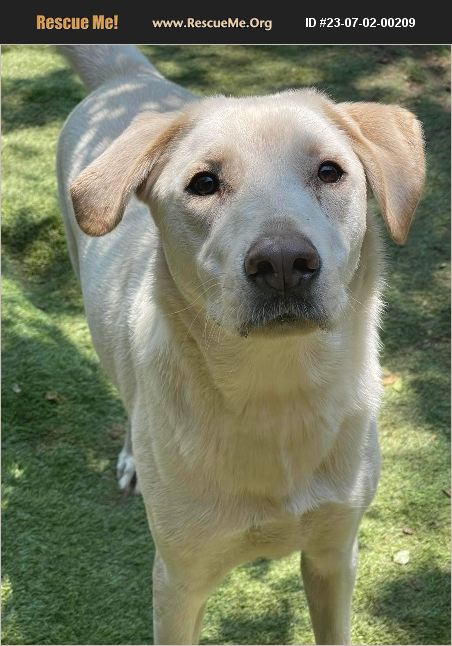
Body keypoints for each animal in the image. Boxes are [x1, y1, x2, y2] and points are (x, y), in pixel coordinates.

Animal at [58, 43, 426, 644]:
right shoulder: (178, 584)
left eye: (330, 171)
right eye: (203, 183)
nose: (283, 263)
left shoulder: (335, 555)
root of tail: (128, 79)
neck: (275, 393)